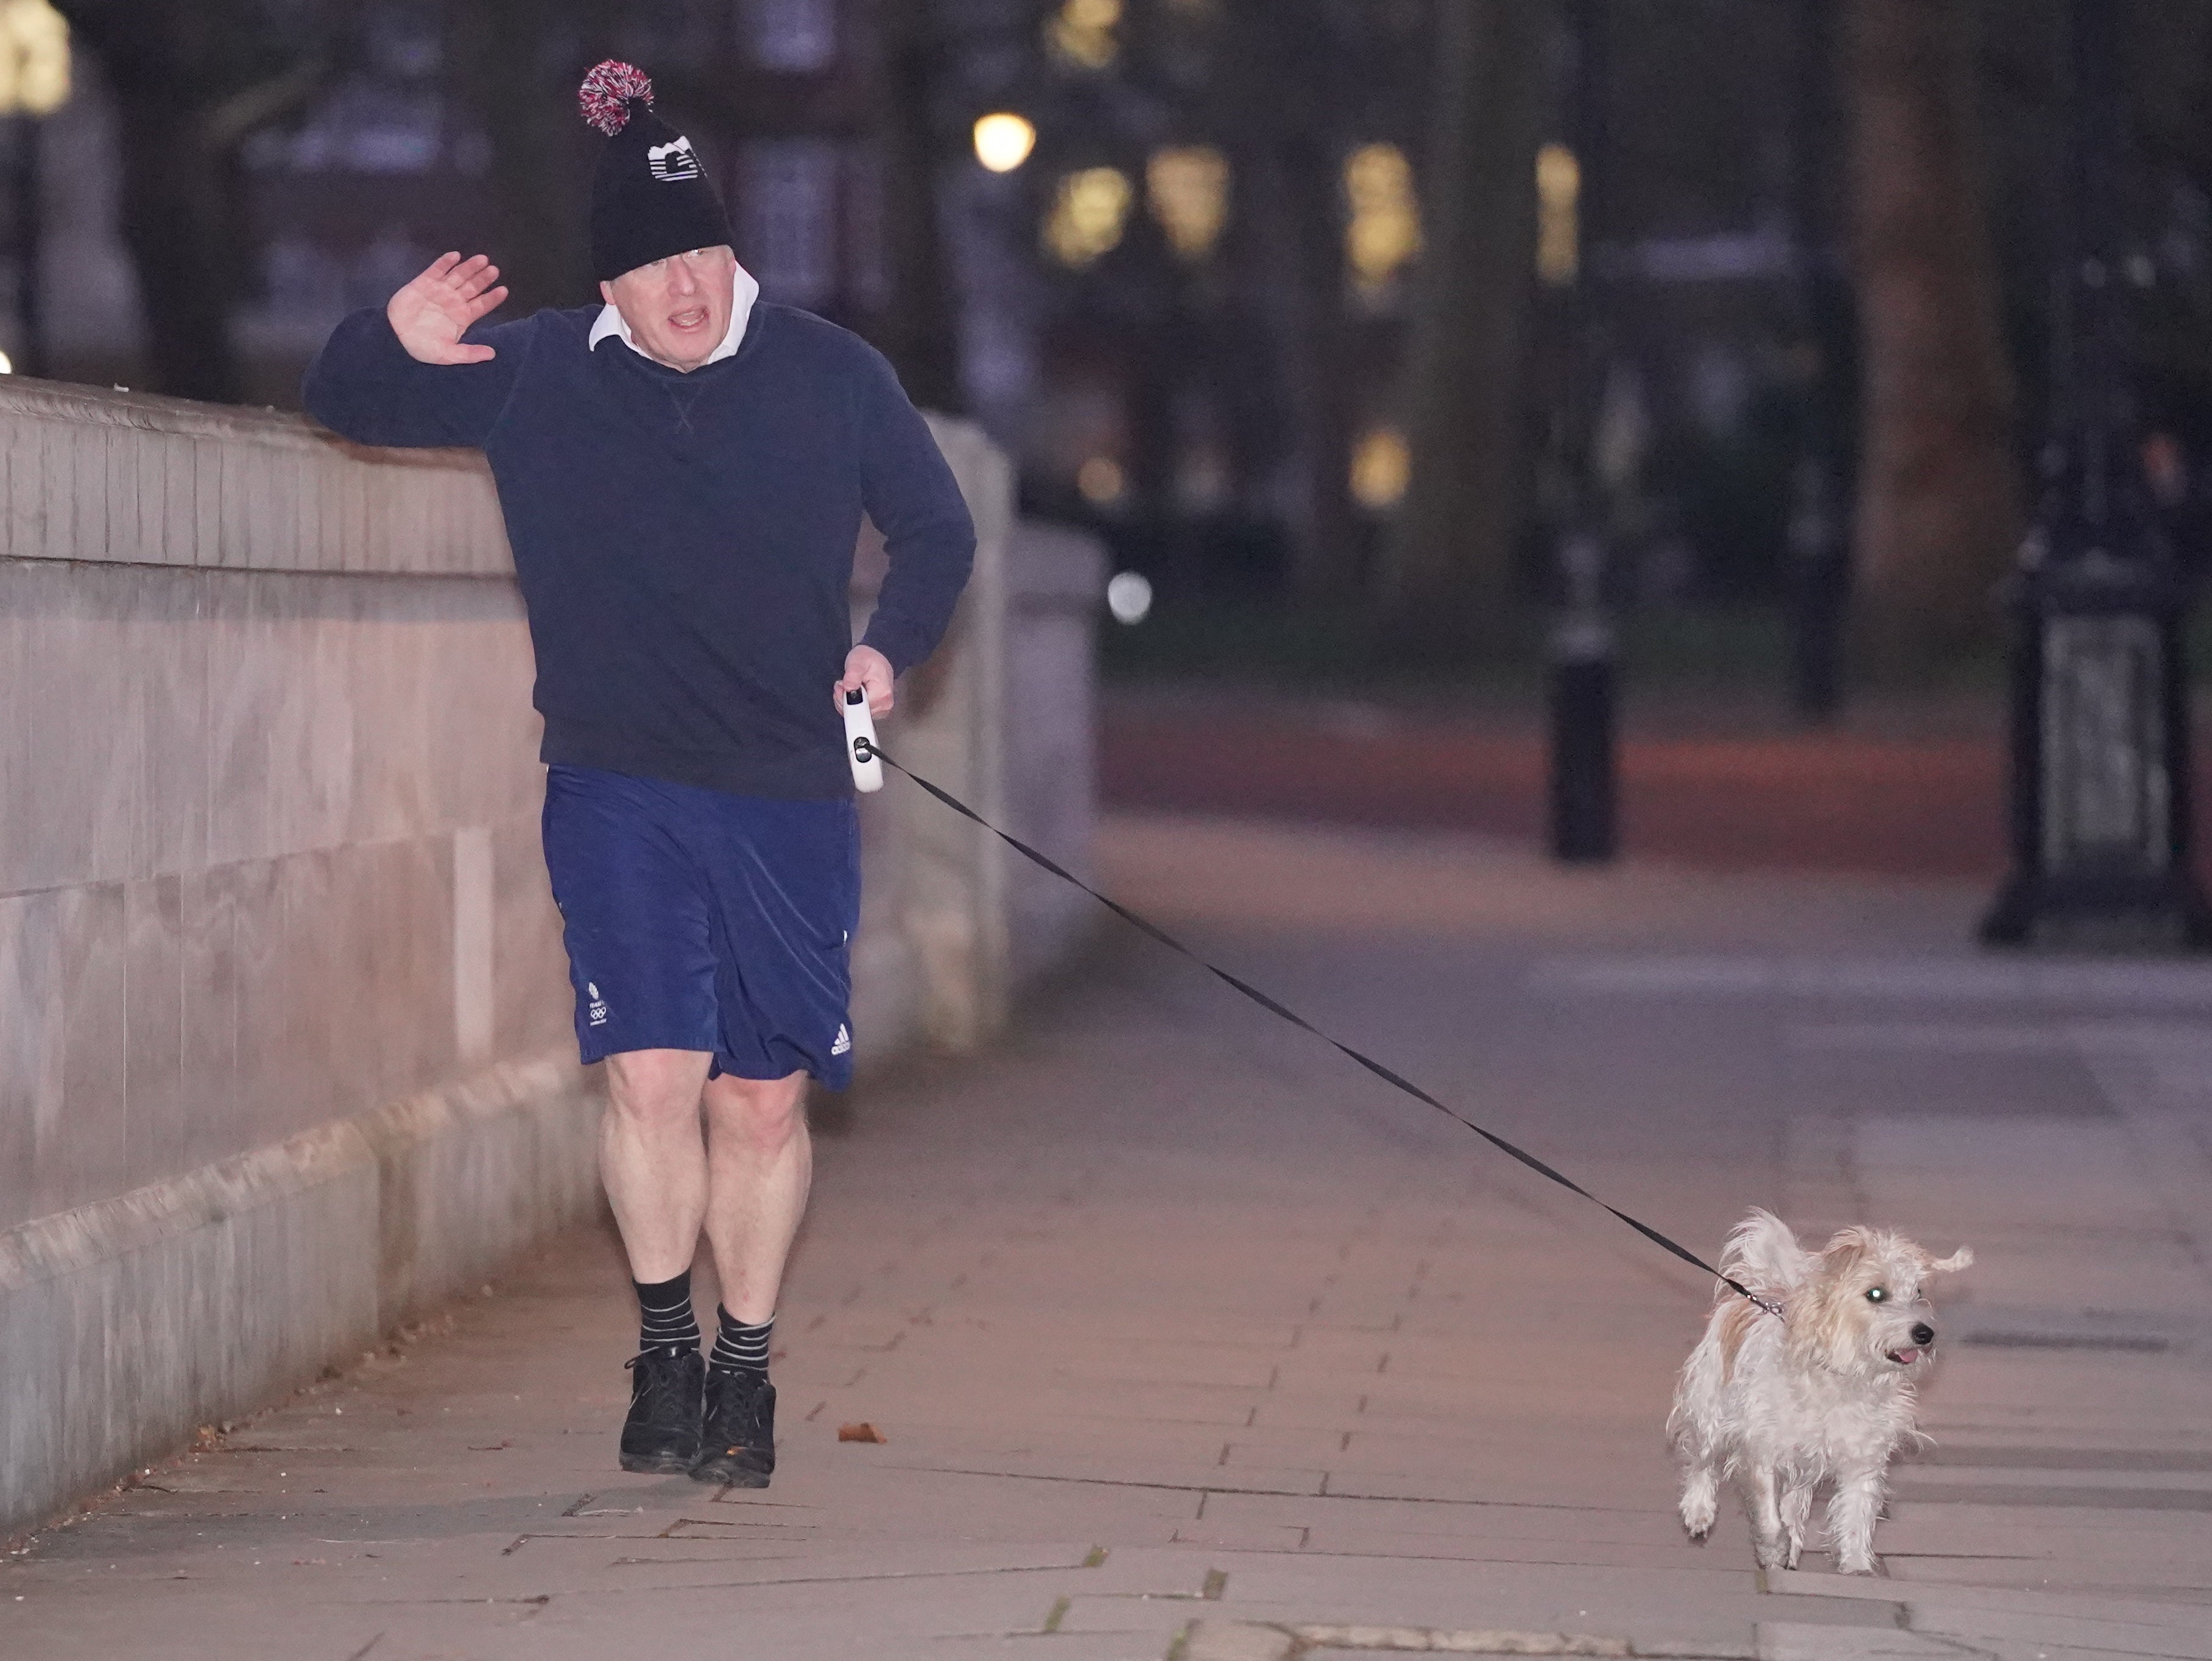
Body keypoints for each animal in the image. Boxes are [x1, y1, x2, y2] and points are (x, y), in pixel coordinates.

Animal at [1672, 1212, 1973, 1575]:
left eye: (1918, 1292)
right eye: (1876, 1294)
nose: (1925, 1334)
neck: (1844, 1374)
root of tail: (1762, 1287)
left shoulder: (1862, 1461)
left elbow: (1855, 1516)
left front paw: (1857, 1567)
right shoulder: (1760, 1451)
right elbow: (1768, 1515)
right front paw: (1772, 1551)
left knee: (1793, 1501)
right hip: (1710, 1412)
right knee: (1701, 1460)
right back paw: (1698, 1511)